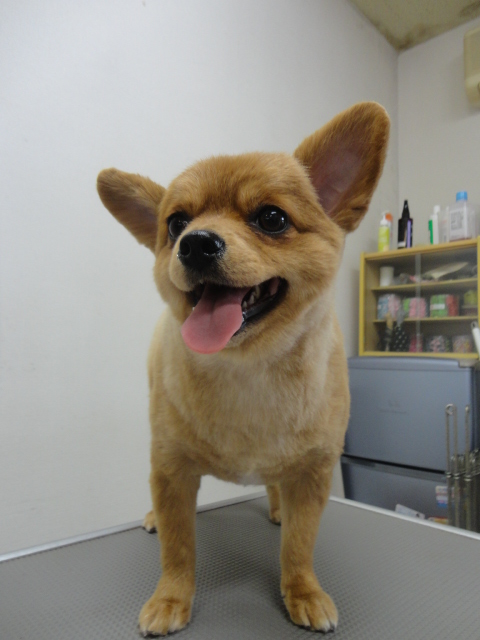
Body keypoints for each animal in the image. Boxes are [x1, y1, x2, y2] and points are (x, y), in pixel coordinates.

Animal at [97, 102, 389, 636]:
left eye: (272, 218)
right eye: (175, 223)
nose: (195, 243)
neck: (249, 371)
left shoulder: (313, 472)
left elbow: (299, 545)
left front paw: (303, 591)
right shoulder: (170, 469)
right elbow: (178, 549)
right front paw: (171, 598)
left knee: (278, 488)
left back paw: (276, 510)